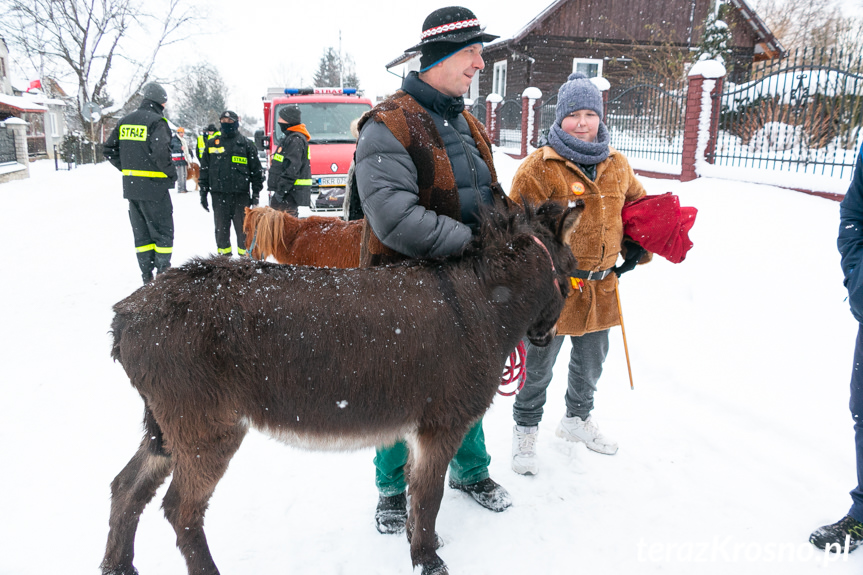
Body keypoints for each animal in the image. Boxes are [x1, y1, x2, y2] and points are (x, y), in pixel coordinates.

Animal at [101, 199, 588, 575]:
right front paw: (428, 560)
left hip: (168, 431)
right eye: (572, 273)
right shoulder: (441, 425)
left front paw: (418, 545)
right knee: (181, 511)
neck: (483, 302)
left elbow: (416, 495)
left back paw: (117, 566)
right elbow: (428, 497)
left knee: (127, 487)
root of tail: (127, 315)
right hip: (206, 429)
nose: (546, 337)